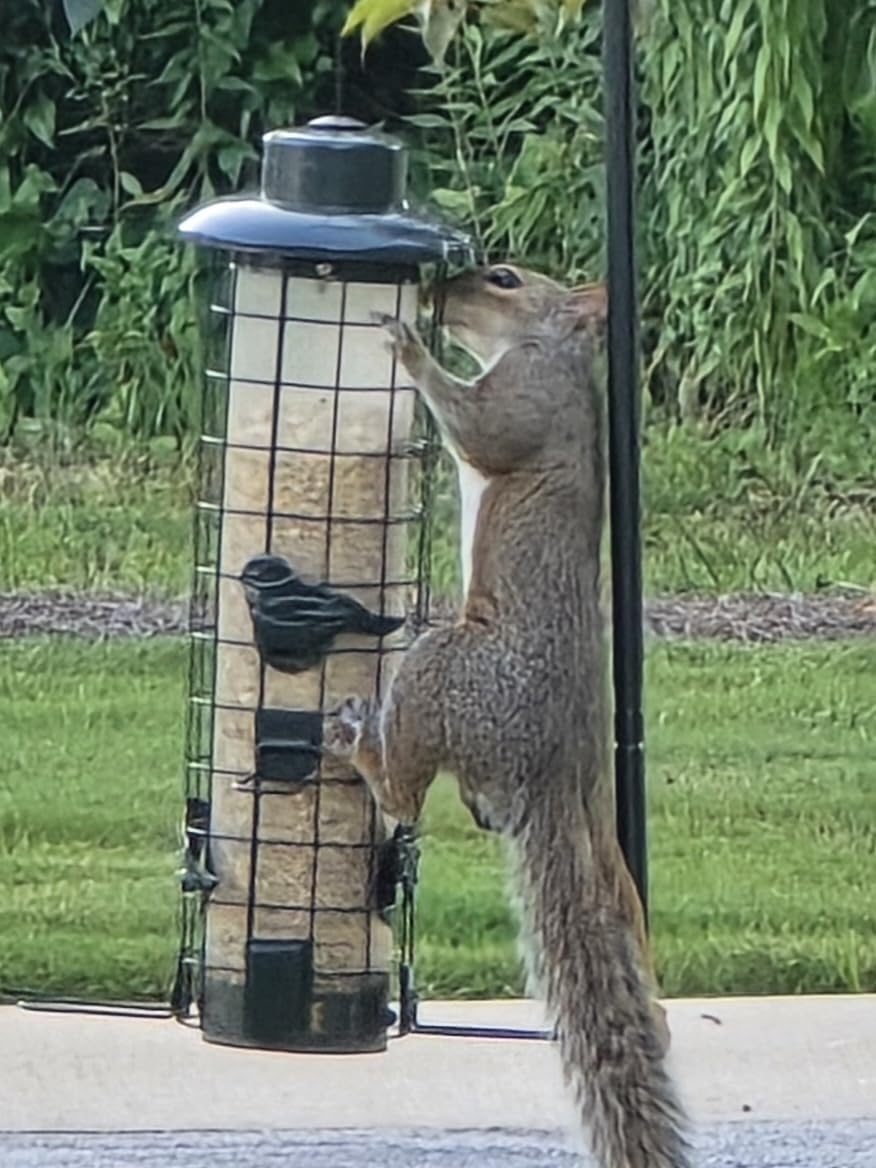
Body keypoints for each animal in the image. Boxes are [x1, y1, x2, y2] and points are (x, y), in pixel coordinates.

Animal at [325, 263, 689, 1168]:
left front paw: (409, 348)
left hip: (440, 664)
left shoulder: (527, 400)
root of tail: (557, 771)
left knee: (403, 794)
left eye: (503, 278)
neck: (546, 348)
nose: (437, 291)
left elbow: (478, 430)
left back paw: (360, 746)